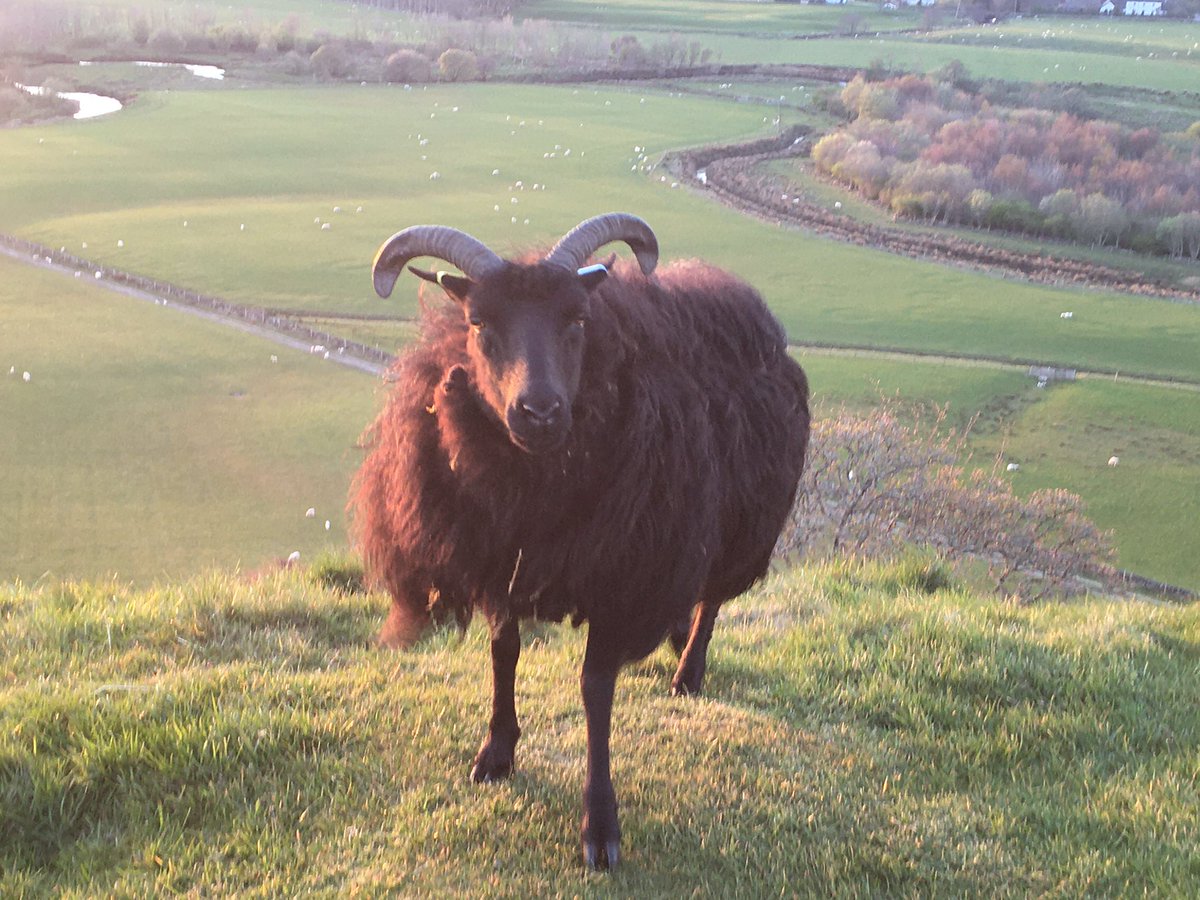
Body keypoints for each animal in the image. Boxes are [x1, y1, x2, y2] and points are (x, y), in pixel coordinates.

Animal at [350, 213, 811, 873]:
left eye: (577, 320)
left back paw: (688, 671)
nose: (539, 411)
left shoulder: (620, 578)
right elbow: (504, 653)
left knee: (713, 598)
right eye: (478, 323)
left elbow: (595, 689)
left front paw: (600, 823)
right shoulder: (500, 563)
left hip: (741, 521)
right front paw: (496, 752)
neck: (536, 488)